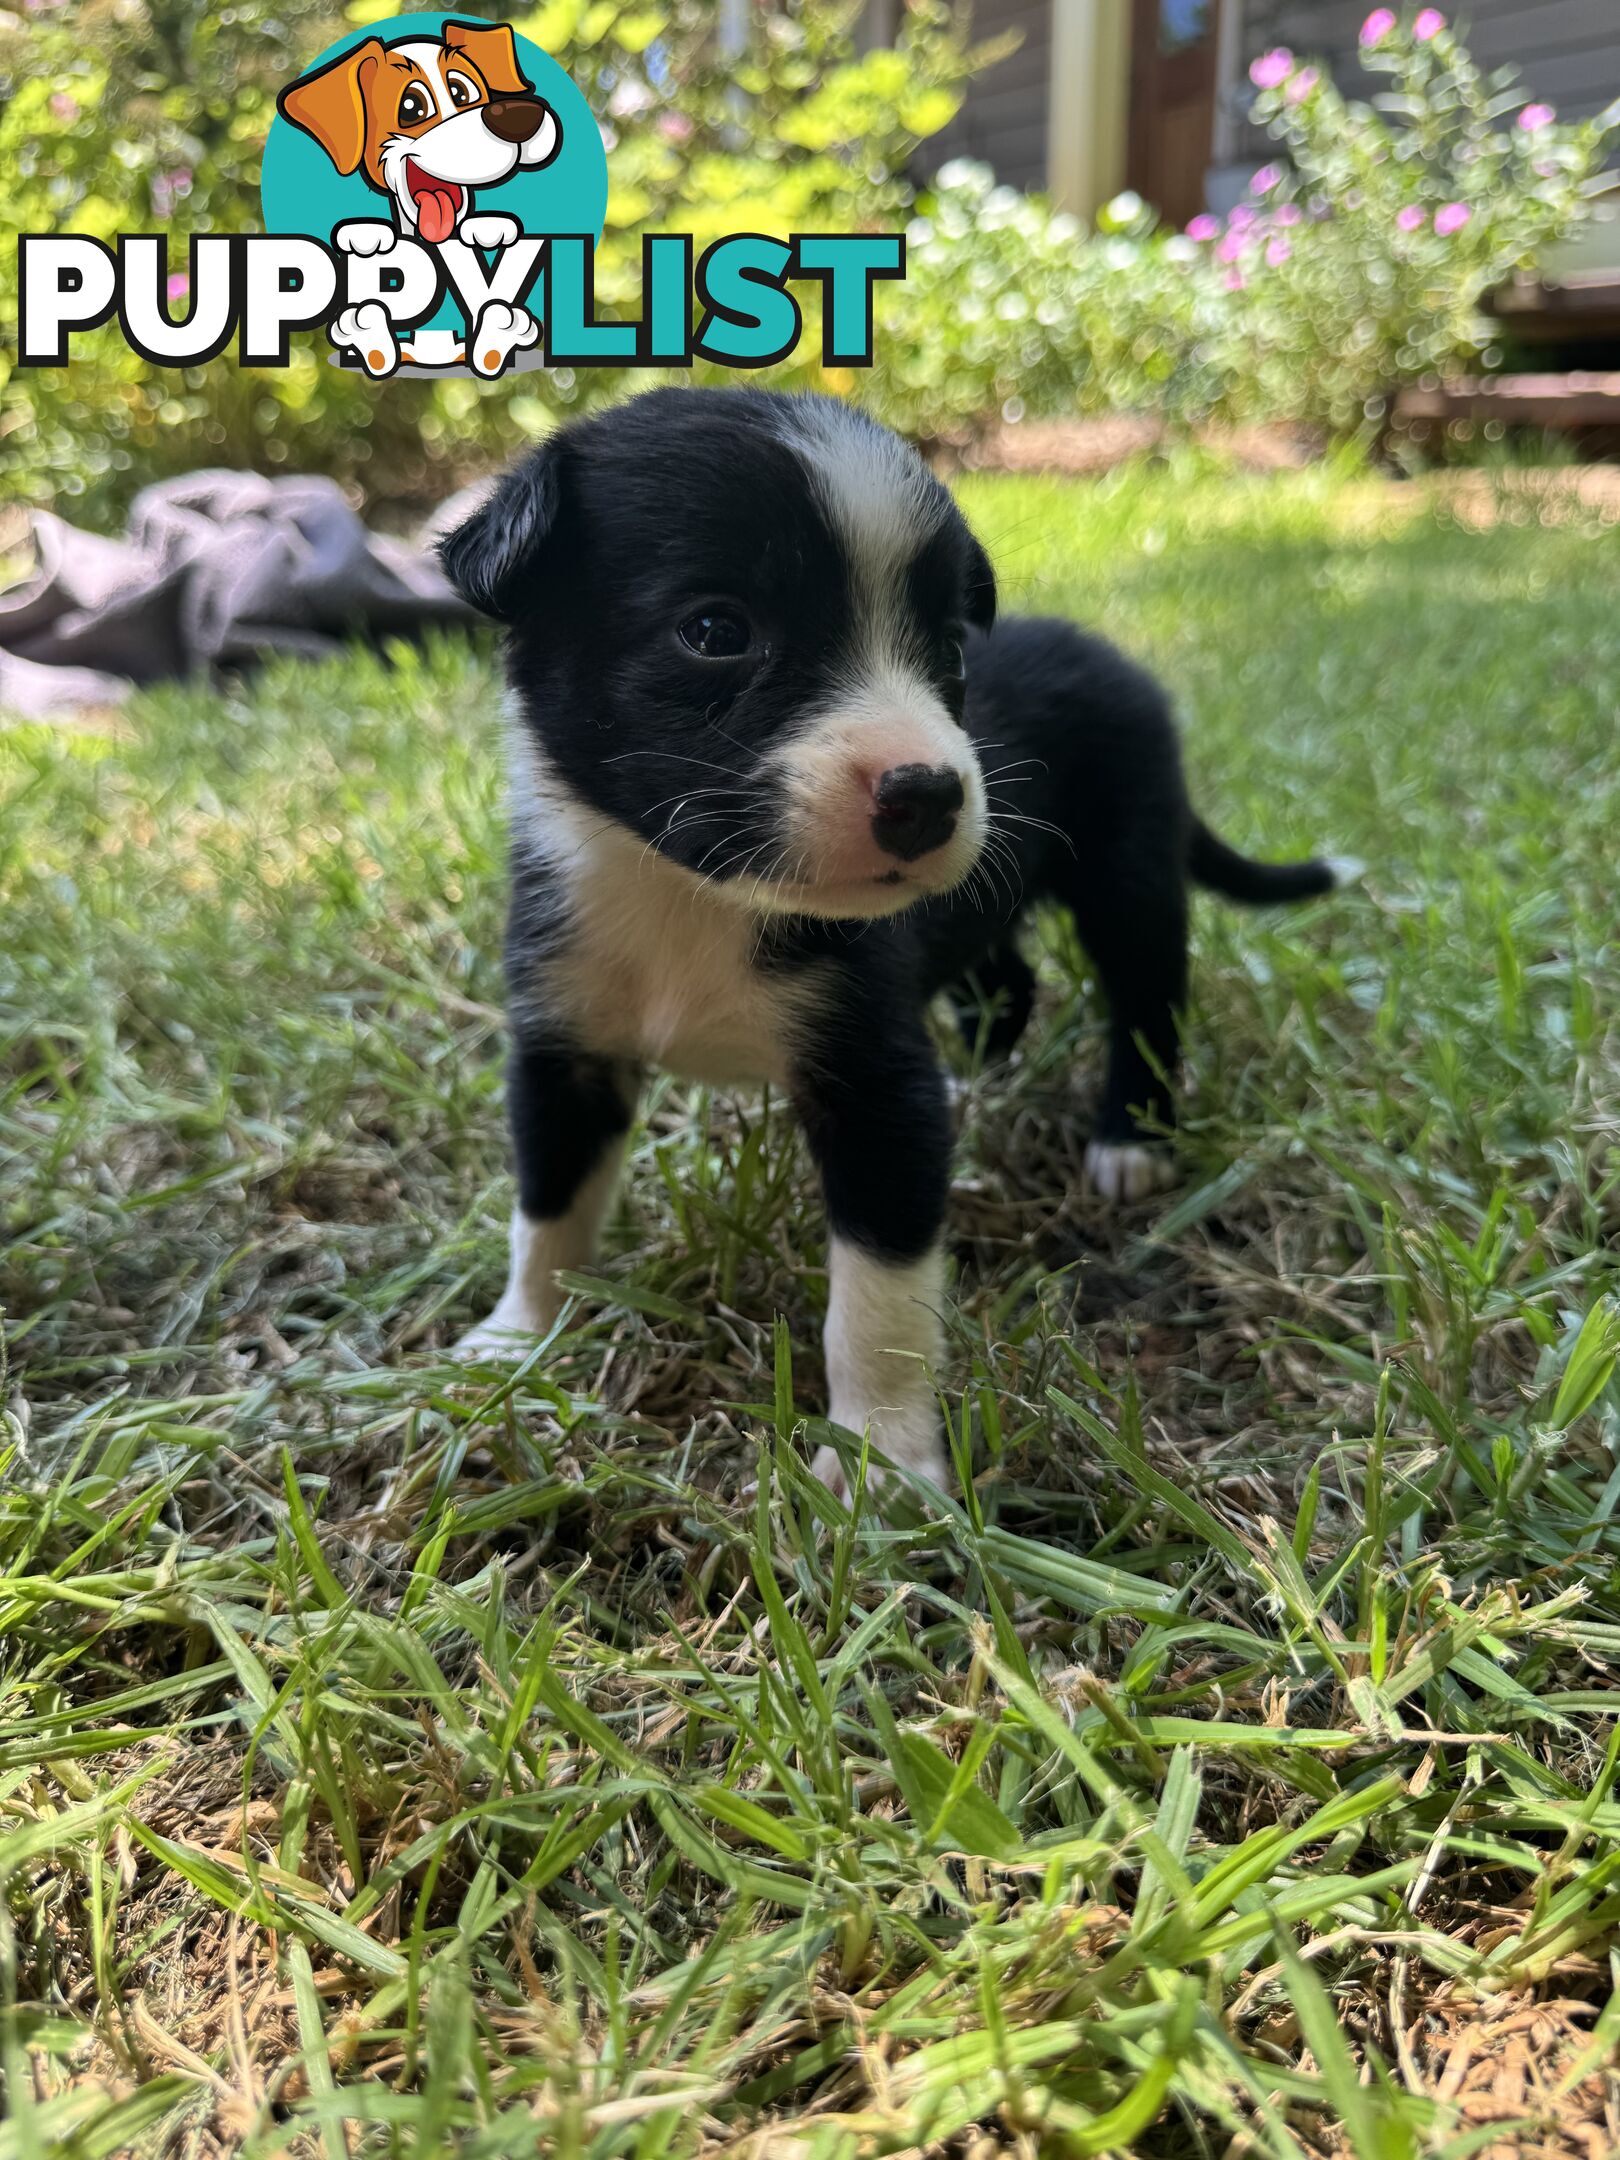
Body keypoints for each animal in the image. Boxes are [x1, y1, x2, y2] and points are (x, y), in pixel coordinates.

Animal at [440, 388, 1347, 1494]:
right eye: (714, 630)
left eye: (951, 647)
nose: (929, 795)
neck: (696, 896)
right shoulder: (565, 1038)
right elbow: (549, 1203)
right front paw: (515, 1341)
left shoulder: (878, 1086)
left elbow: (877, 1295)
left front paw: (879, 1458)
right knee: (1006, 980)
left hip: (1129, 874)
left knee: (1146, 997)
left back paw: (1132, 1139)